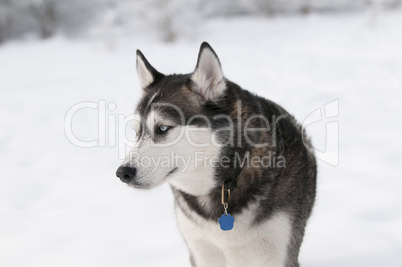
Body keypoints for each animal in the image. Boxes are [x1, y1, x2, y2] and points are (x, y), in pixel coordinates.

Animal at [116, 43, 318, 266]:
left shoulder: (277, 254)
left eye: (162, 128)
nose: (123, 173)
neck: (229, 178)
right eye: (136, 132)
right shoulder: (201, 252)